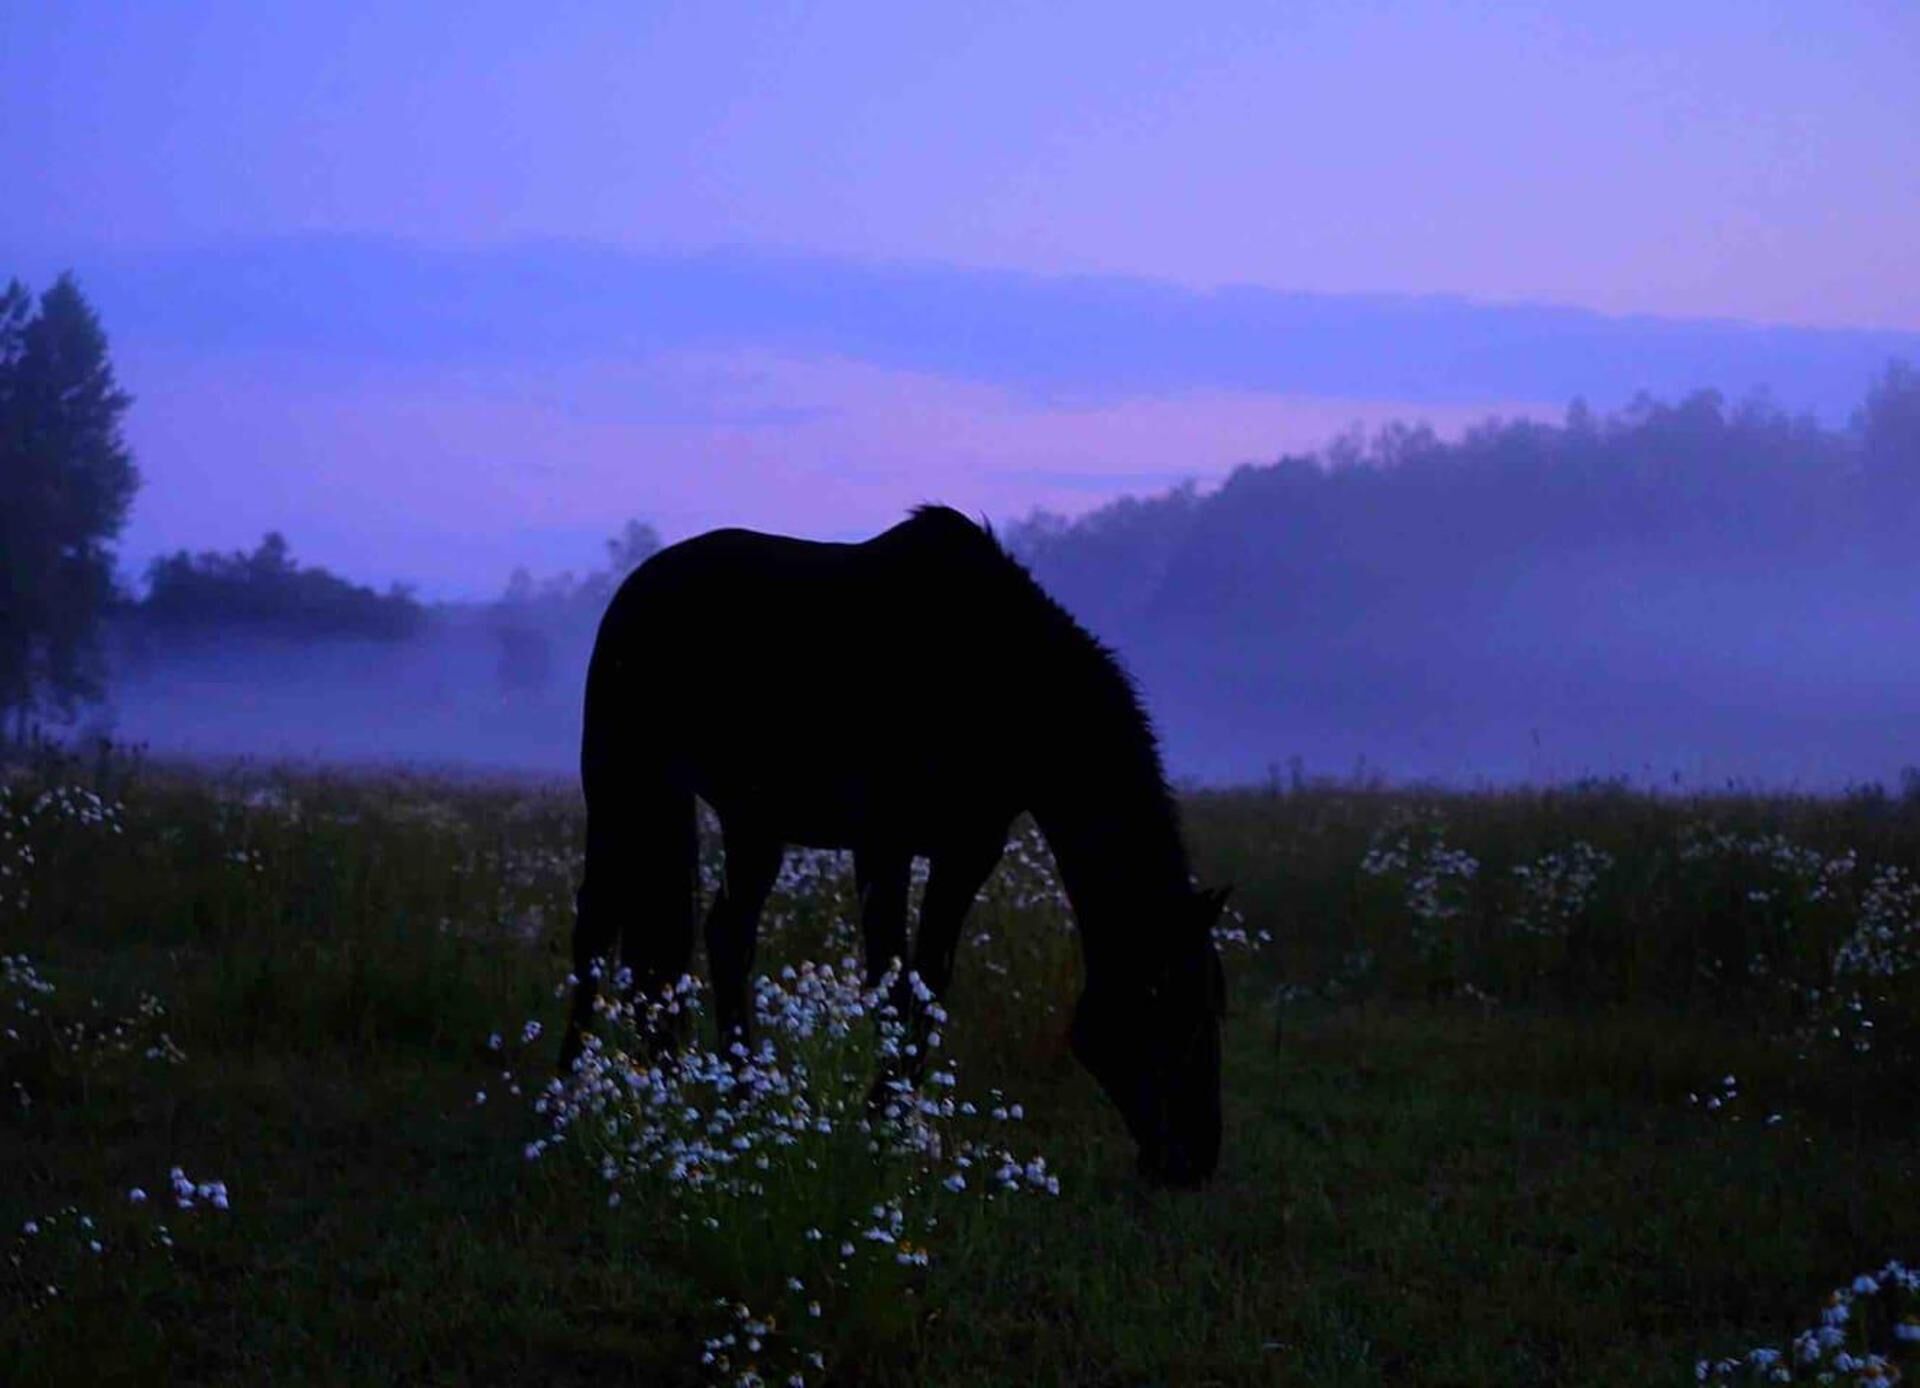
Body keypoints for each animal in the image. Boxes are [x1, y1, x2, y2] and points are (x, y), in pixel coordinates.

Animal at [557, 504, 1229, 1186]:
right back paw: (568, 1099)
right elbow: (890, 987)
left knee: (722, 937)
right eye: (1176, 1015)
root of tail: (636, 587)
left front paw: (895, 1125)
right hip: (621, 788)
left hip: (752, 824)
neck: (1001, 680)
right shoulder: (884, 846)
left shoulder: (967, 853)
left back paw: (736, 1103)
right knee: (596, 930)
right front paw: (877, 1128)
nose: (1195, 1161)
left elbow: (928, 989)